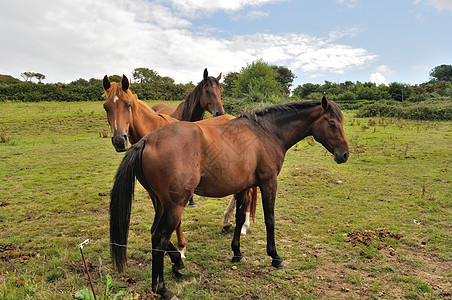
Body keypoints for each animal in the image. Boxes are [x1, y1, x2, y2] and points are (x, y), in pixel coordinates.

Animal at [109, 97, 350, 298]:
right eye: (332, 124)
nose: (344, 154)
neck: (267, 133)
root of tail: (147, 140)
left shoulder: (244, 186)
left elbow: (240, 217)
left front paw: (237, 253)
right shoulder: (268, 182)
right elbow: (270, 219)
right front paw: (275, 257)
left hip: (160, 203)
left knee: (154, 233)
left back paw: (177, 263)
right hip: (175, 205)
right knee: (159, 237)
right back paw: (162, 288)